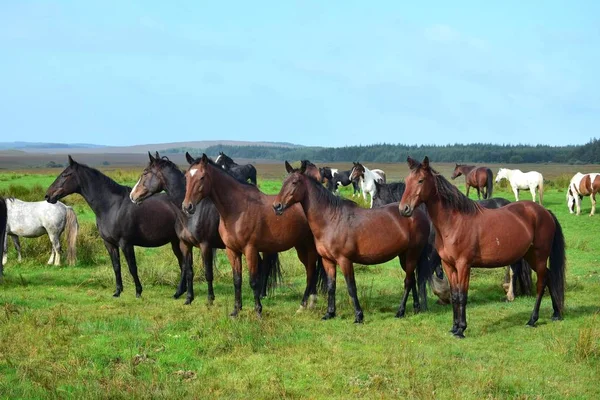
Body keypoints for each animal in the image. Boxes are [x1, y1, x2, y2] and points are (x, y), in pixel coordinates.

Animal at [45, 155, 185, 298]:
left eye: (65, 175)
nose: (48, 195)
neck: (112, 206)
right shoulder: (109, 243)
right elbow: (116, 266)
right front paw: (118, 291)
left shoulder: (126, 243)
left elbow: (132, 267)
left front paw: (138, 292)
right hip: (175, 242)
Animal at [182, 152, 326, 318]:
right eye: (186, 176)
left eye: (202, 177)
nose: (187, 207)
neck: (238, 209)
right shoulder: (232, 251)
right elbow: (237, 280)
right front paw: (236, 310)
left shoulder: (250, 250)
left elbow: (253, 281)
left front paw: (258, 311)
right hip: (300, 247)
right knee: (311, 271)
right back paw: (310, 303)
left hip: (309, 247)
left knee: (311, 271)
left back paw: (305, 304)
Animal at [272, 161, 432, 324]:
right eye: (284, 182)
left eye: (295, 182)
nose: (277, 205)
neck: (331, 219)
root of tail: (418, 213)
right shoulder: (328, 261)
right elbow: (331, 286)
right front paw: (329, 313)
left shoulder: (345, 260)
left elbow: (351, 287)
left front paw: (358, 316)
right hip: (404, 256)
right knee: (412, 279)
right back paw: (416, 308)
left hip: (412, 254)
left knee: (408, 281)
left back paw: (400, 311)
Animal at [400, 156, 564, 338]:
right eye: (407, 181)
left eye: (420, 180)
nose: (404, 209)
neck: (454, 222)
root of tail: (545, 212)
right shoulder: (448, 265)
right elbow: (455, 295)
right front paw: (454, 327)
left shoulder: (464, 265)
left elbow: (462, 295)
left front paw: (461, 329)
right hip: (530, 256)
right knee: (549, 276)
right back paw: (556, 314)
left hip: (539, 256)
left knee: (541, 284)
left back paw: (532, 320)